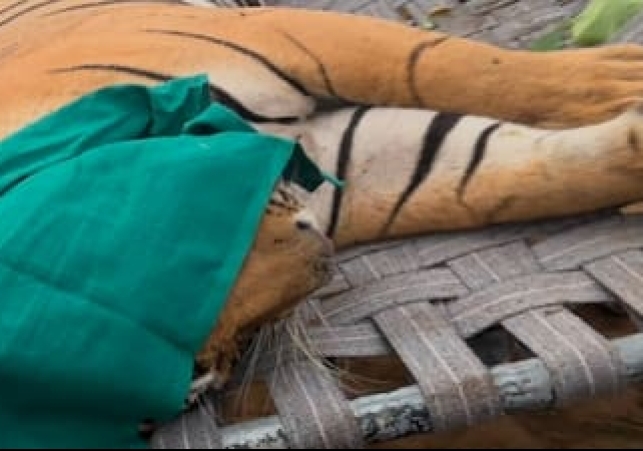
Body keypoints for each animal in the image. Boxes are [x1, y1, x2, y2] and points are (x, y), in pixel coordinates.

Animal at [4, 0, 643, 391]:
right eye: (200, 371)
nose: (318, 256)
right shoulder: (352, 164)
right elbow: (495, 177)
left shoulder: (283, 35)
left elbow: (461, 67)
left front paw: (621, 75)